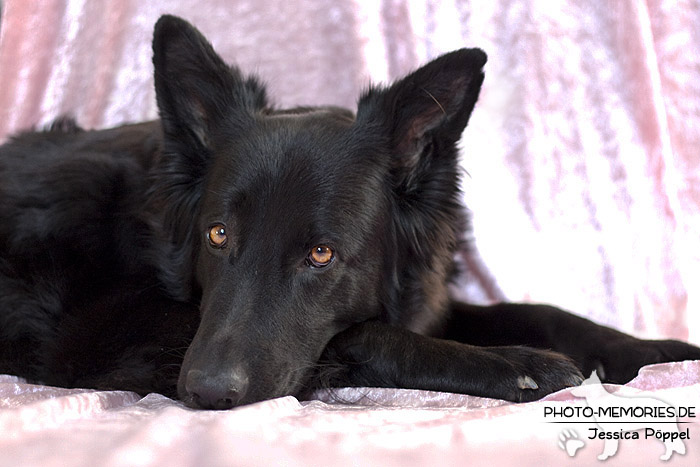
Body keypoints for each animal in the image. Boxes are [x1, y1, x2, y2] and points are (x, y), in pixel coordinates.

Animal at [1, 15, 700, 410]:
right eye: (218, 235)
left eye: (321, 253)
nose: (204, 393)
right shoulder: (99, 334)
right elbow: (360, 332)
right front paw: (515, 363)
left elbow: (541, 310)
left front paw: (657, 350)